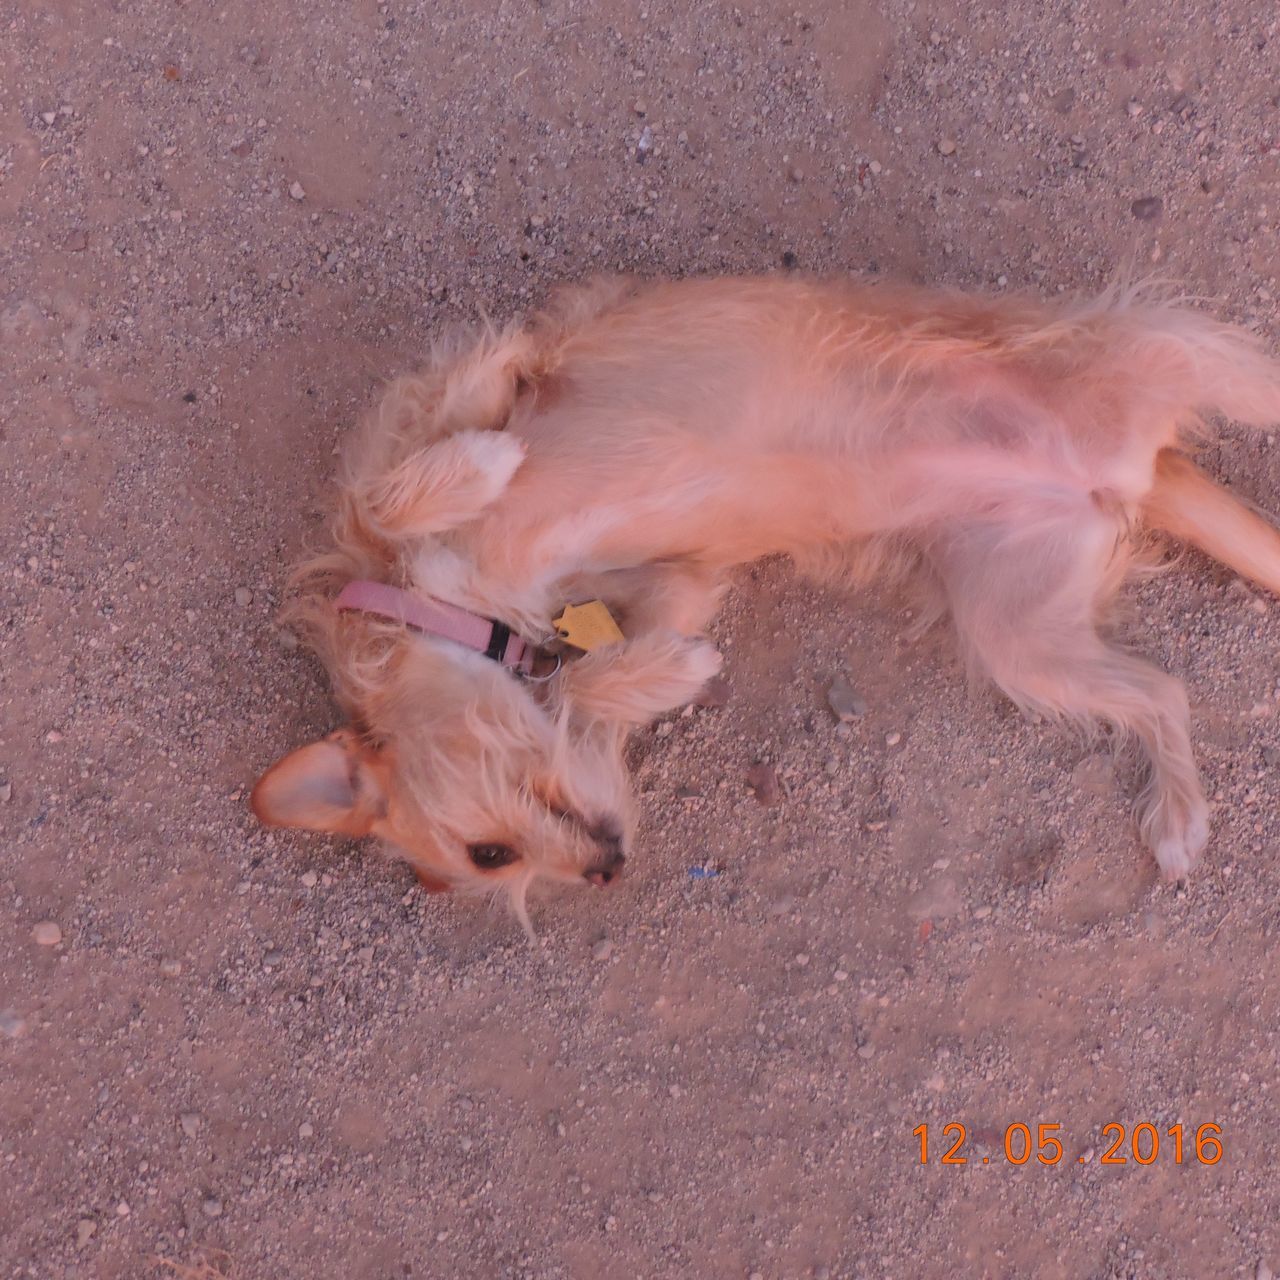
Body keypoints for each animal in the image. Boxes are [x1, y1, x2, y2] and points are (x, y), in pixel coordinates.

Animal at [249, 280, 1280, 921]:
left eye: (485, 856)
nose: (607, 869)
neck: (460, 599)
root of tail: (1136, 464)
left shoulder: (462, 389)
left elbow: (417, 472)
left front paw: (481, 464)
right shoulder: (676, 580)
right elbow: (591, 677)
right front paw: (662, 671)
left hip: (1184, 351)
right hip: (1020, 639)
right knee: (1164, 694)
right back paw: (1180, 820)